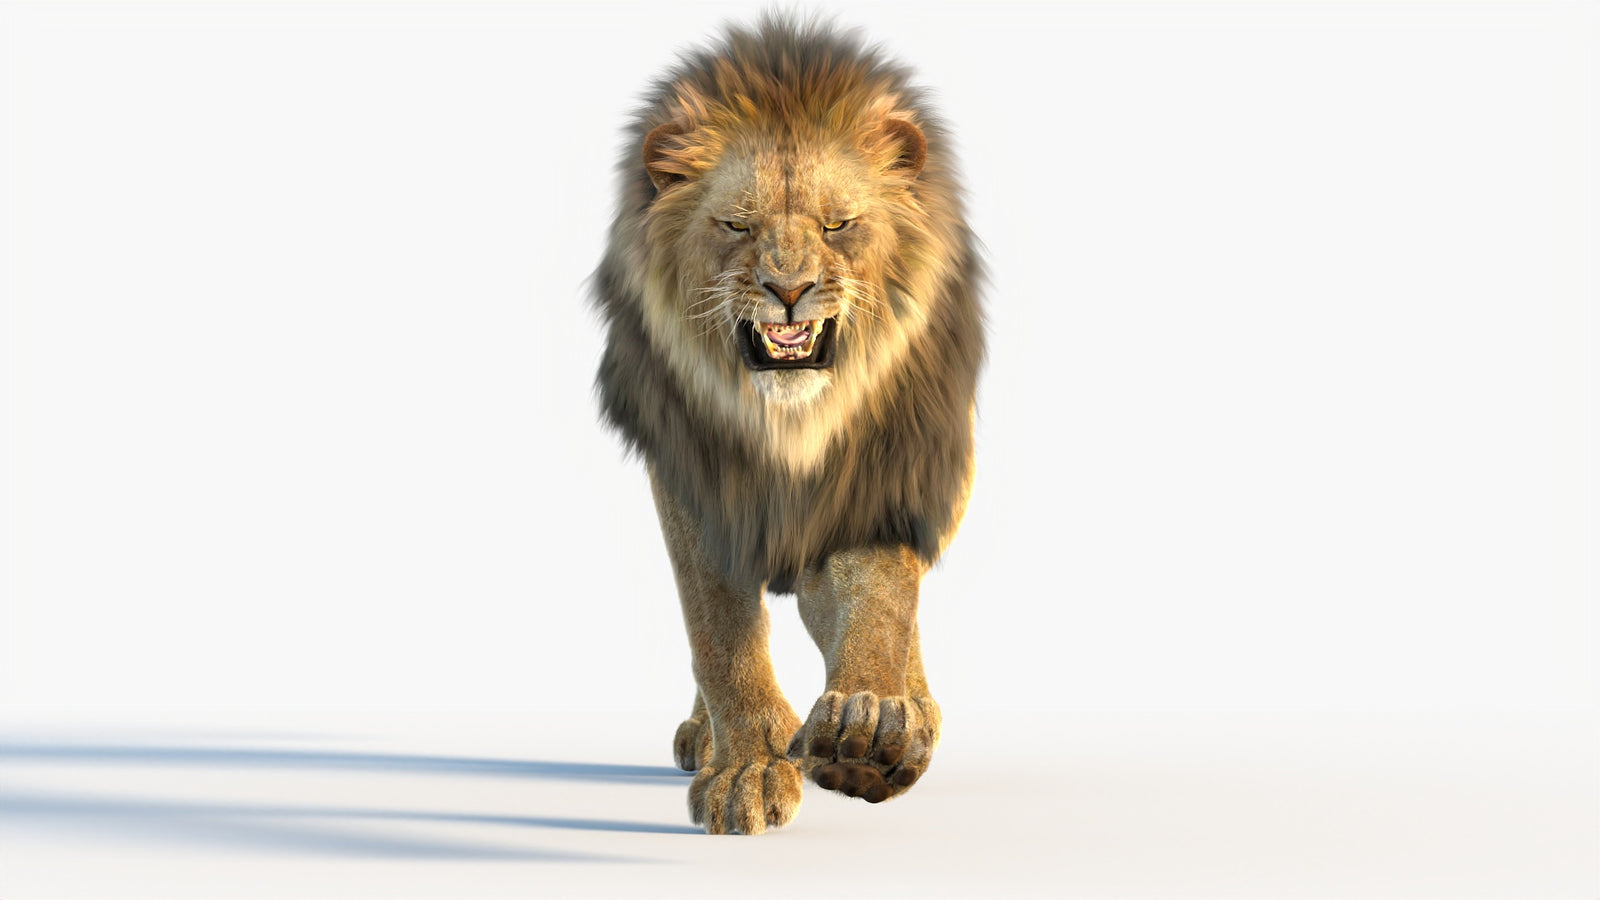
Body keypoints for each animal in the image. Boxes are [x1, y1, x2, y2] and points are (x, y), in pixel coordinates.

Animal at [591, 16, 984, 835]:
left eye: (838, 225)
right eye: (737, 225)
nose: (790, 289)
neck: (788, 423)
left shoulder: (885, 468)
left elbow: (882, 597)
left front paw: (870, 726)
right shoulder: (693, 478)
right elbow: (717, 628)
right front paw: (748, 762)